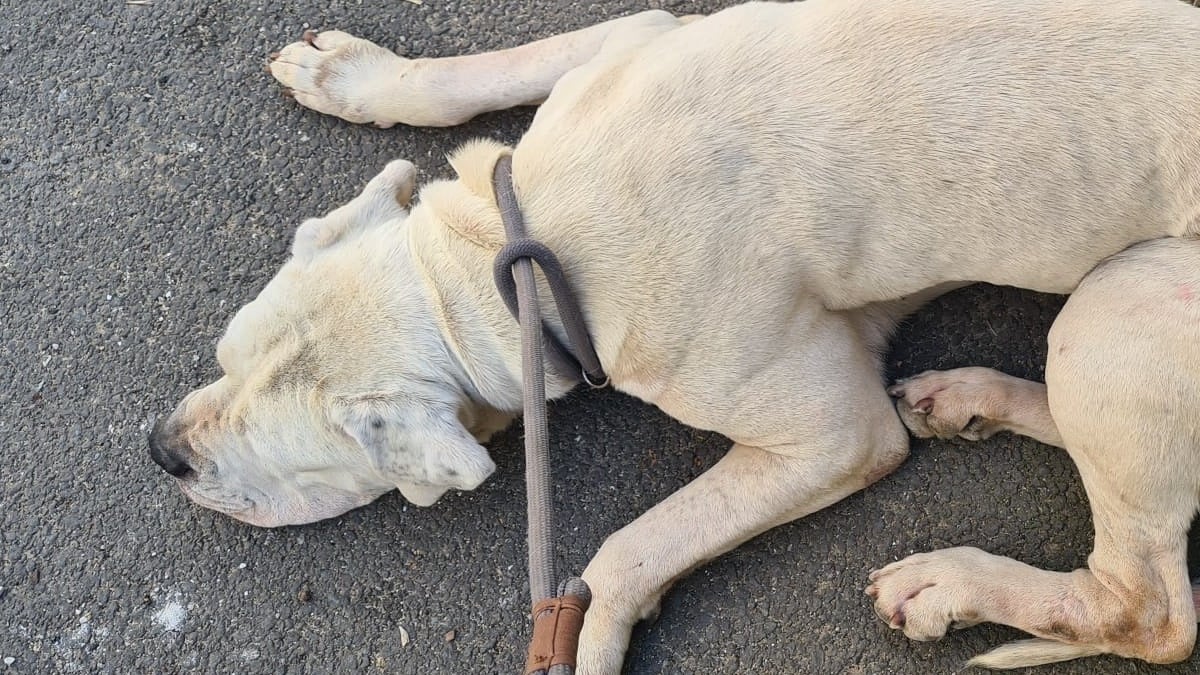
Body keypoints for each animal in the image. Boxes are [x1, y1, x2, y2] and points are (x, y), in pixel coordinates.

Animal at [147, 0, 1200, 667]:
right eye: (224, 357)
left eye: (300, 466)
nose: (162, 453)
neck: (512, 254)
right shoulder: (635, 38)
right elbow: (488, 73)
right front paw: (354, 76)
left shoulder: (835, 433)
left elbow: (631, 545)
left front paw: (588, 629)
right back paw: (970, 399)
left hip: (1125, 305)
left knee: (1147, 607)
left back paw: (952, 581)